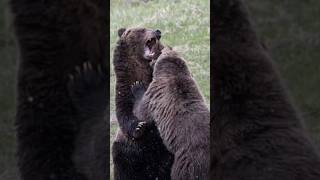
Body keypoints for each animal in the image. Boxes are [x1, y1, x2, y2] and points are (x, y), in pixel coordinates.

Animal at [112, 27, 174, 180]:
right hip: (126, 154)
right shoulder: (124, 90)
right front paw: (139, 127)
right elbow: (124, 113)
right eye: (142, 29)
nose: (157, 31)